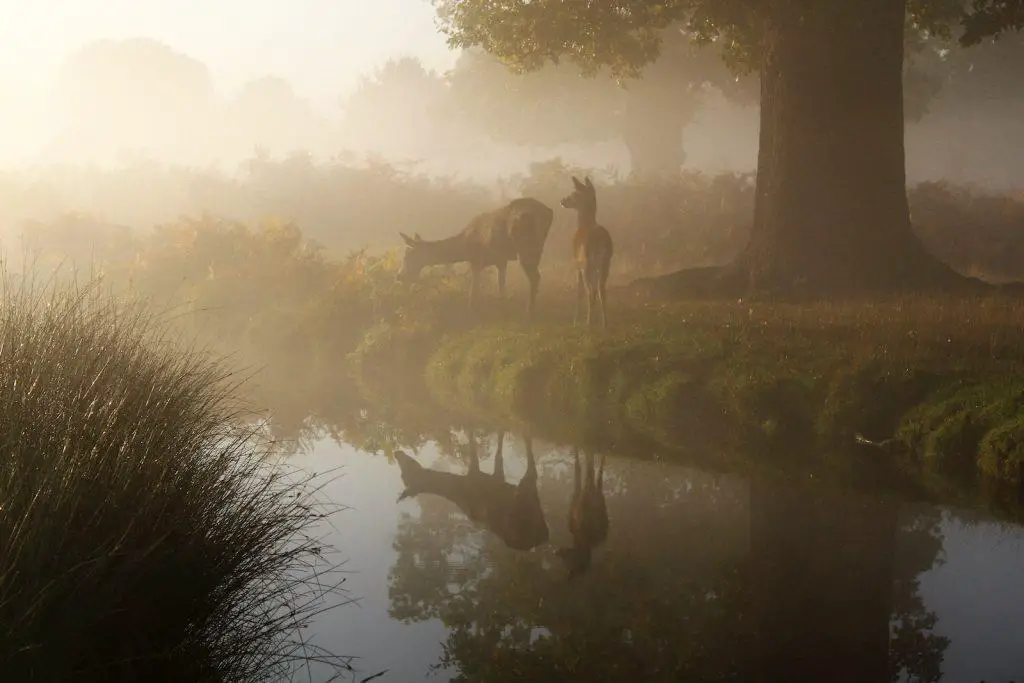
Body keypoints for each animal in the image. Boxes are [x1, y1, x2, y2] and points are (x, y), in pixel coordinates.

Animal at [393, 430, 552, 552]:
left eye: (407, 471)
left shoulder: (483, 475)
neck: (460, 488)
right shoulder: (493, 479)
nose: (397, 452)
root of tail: (545, 536)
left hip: (525, 495)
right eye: (403, 475)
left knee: (532, 468)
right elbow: (496, 450)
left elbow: (478, 445)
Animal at [395, 196, 552, 321]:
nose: (399, 275)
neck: (463, 247)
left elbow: (473, 291)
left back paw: (529, 313)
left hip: (526, 246)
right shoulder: (501, 260)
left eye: (408, 255)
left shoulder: (476, 260)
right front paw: (503, 309)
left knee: (535, 277)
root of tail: (548, 213)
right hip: (537, 248)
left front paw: (471, 314)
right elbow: (501, 286)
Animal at [565, 176, 610, 331]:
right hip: (606, 264)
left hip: (586, 264)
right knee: (601, 291)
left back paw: (588, 325)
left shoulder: (576, 263)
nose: (563, 200)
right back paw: (604, 324)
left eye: (575, 193)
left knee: (590, 292)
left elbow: (579, 292)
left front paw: (574, 321)